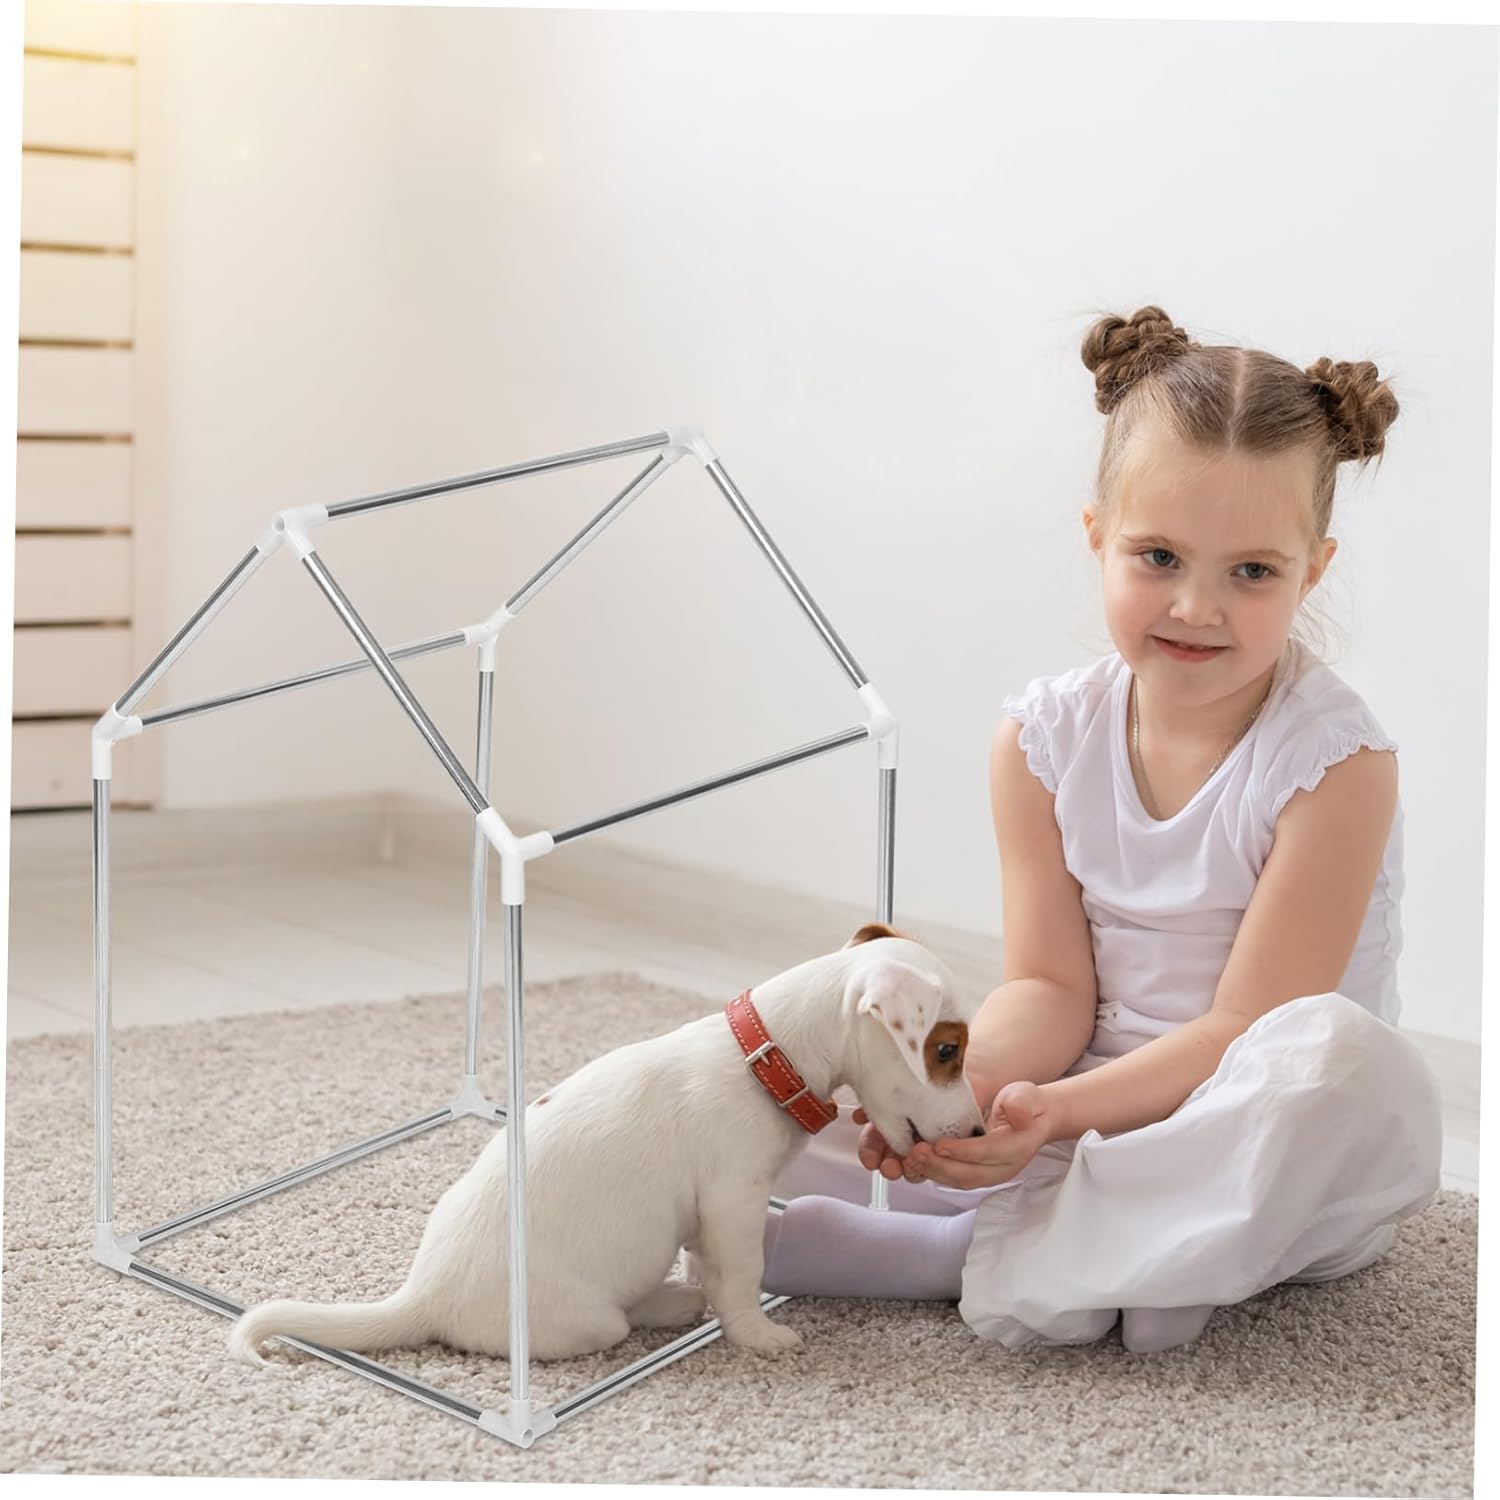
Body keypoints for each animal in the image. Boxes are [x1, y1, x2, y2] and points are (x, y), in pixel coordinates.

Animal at [227, 922, 984, 1364]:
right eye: (947, 1049)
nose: (980, 1132)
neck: (766, 1055)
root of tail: (423, 1298)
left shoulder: (715, 1215)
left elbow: (711, 1263)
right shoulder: (734, 1199)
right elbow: (741, 1275)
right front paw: (756, 1335)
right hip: (591, 1323)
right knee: (618, 1323)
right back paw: (671, 1306)